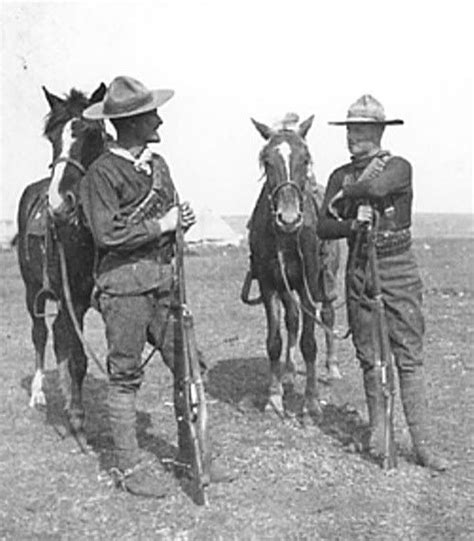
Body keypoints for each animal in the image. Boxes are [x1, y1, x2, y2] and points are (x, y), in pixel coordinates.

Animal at [16, 82, 106, 440]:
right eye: (52, 138)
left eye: (93, 133)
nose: (59, 204)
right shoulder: (75, 300)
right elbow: (78, 356)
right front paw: (78, 418)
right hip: (33, 291)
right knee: (41, 333)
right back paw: (39, 394)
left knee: (56, 334)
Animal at [244, 117, 340, 418]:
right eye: (266, 160)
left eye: (305, 158)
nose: (288, 218)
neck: (286, 238)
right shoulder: (269, 285)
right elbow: (275, 340)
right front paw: (274, 398)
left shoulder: (309, 284)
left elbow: (310, 343)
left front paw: (310, 401)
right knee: (293, 320)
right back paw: (288, 372)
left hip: (327, 280)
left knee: (328, 316)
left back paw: (332, 368)